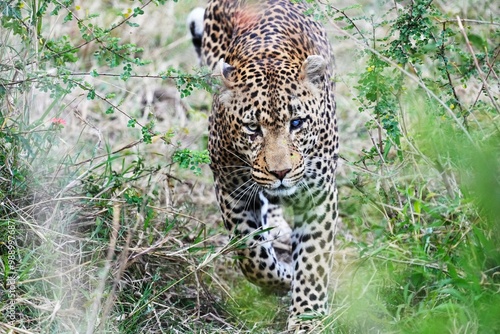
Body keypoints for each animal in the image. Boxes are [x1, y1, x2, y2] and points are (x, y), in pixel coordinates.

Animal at [188, 0, 340, 330]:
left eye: (296, 123)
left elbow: (313, 259)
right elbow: (251, 254)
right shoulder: (230, 190)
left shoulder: (320, 195)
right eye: (251, 128)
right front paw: (284, 278)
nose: (280, 172)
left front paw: (307, 319)